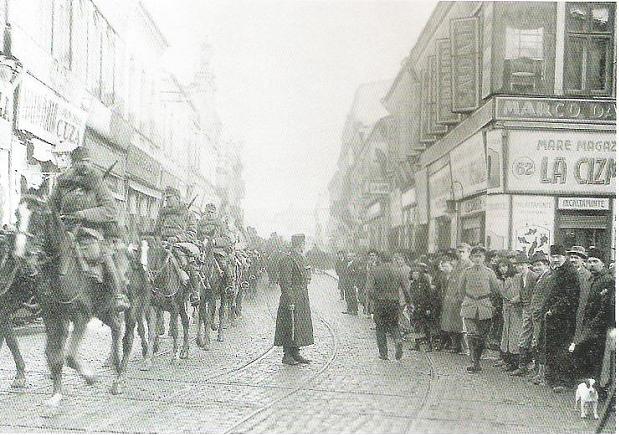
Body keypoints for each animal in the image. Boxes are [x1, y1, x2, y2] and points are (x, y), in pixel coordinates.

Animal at [12, 195, 136, 408]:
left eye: (38, 217)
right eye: (17, 215)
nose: (21, 255)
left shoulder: (80, 316)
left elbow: (69, 355)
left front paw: (89, 376)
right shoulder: (52, 317)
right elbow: (53, 355)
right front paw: (56, 395)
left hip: (133, 308)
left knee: (127, 339)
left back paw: (119, 380)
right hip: (104, 310)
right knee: (116, 327)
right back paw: (116, 364)